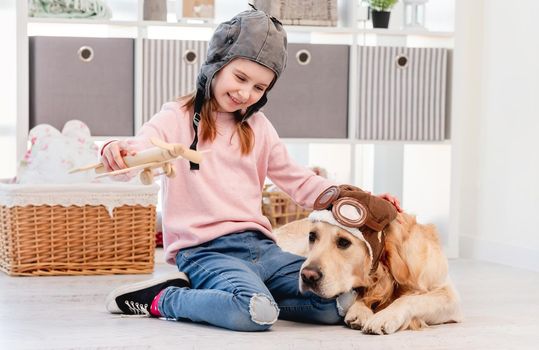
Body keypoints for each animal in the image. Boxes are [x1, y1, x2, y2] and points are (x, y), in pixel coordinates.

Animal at [276, 212, 462, 334]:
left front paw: (384, 316)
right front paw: (360, 311)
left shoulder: (449, 296)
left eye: (344, 242)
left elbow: (409, 299)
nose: (307, 276)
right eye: (312, 236)